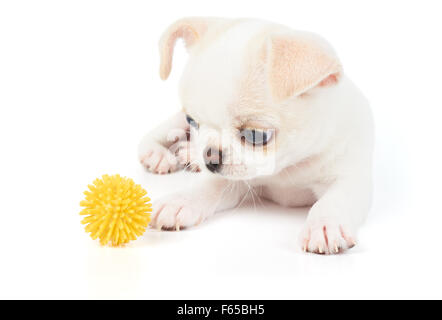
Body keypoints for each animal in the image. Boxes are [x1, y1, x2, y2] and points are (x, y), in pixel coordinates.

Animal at [138, 17, 372, 254]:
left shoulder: (351, 179)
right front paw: (180, 201)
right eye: (192, 121)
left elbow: (334, 200)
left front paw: (324, 225)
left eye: (255, 136)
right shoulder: (233, 180)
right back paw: (161, 154)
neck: (288, 168)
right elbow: (210, 186)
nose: (209, 157)